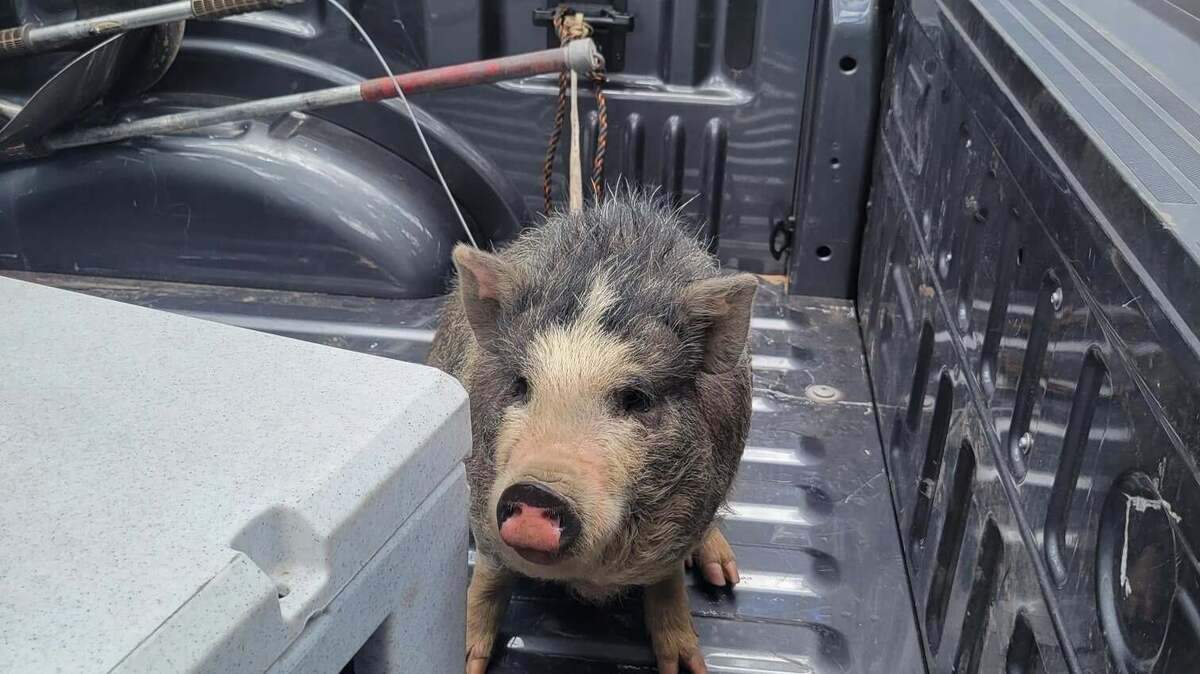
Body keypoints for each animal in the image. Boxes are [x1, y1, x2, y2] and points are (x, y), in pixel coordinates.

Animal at [427, 191, 757, 674]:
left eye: (636, 398)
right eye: (521, 385)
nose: (536, 492)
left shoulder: (689, 514)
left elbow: (666, 583)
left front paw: (687, 666)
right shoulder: (481, 500)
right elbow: (490, 575)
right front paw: (464, 657)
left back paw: (725, 576)